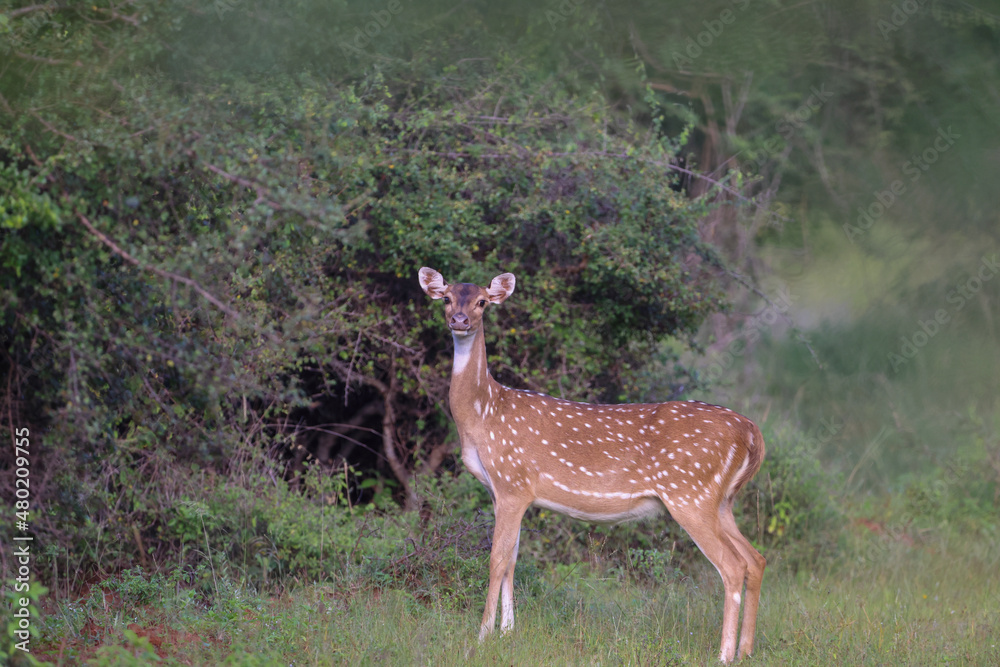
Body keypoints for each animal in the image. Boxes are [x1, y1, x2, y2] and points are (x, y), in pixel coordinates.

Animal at [418, 267, 767, 663]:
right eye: (446, 298)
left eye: (481, 302)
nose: (460, 321)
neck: (484, 412)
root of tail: (752, 433)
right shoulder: (505, 492)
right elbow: (512, 560)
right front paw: (508, 633)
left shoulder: (512, 482)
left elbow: (496, 559)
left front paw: (483, 637)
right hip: (720, 500)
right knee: (755, 559)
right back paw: (746, 650)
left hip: (690, 493)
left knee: (732, 565)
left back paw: (724, 654)